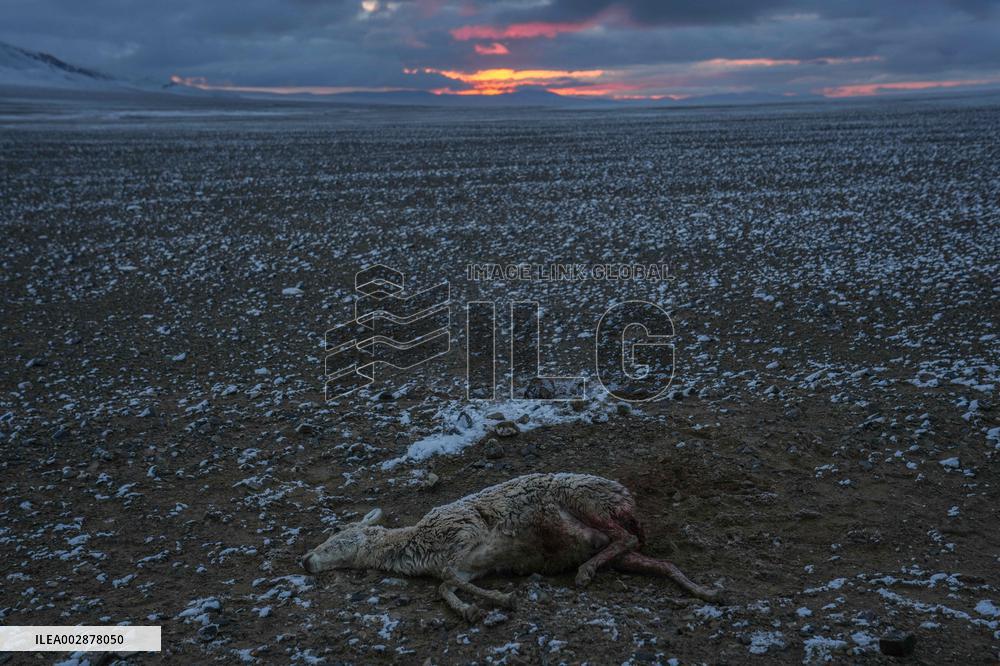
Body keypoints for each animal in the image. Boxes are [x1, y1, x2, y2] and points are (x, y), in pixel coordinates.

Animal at [301, 472, 720, 621]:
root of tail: (627, 500)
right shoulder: (467, 565)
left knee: (625, 536)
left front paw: (502, 601)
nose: (304, 560)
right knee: (656, 561)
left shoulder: (465, 531)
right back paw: (704, 591)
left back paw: (584, 573)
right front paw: (471, 609)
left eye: (336, 536)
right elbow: (445, 586)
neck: (415, 547)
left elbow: (446, 579)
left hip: (585, 501)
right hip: (620, 549)